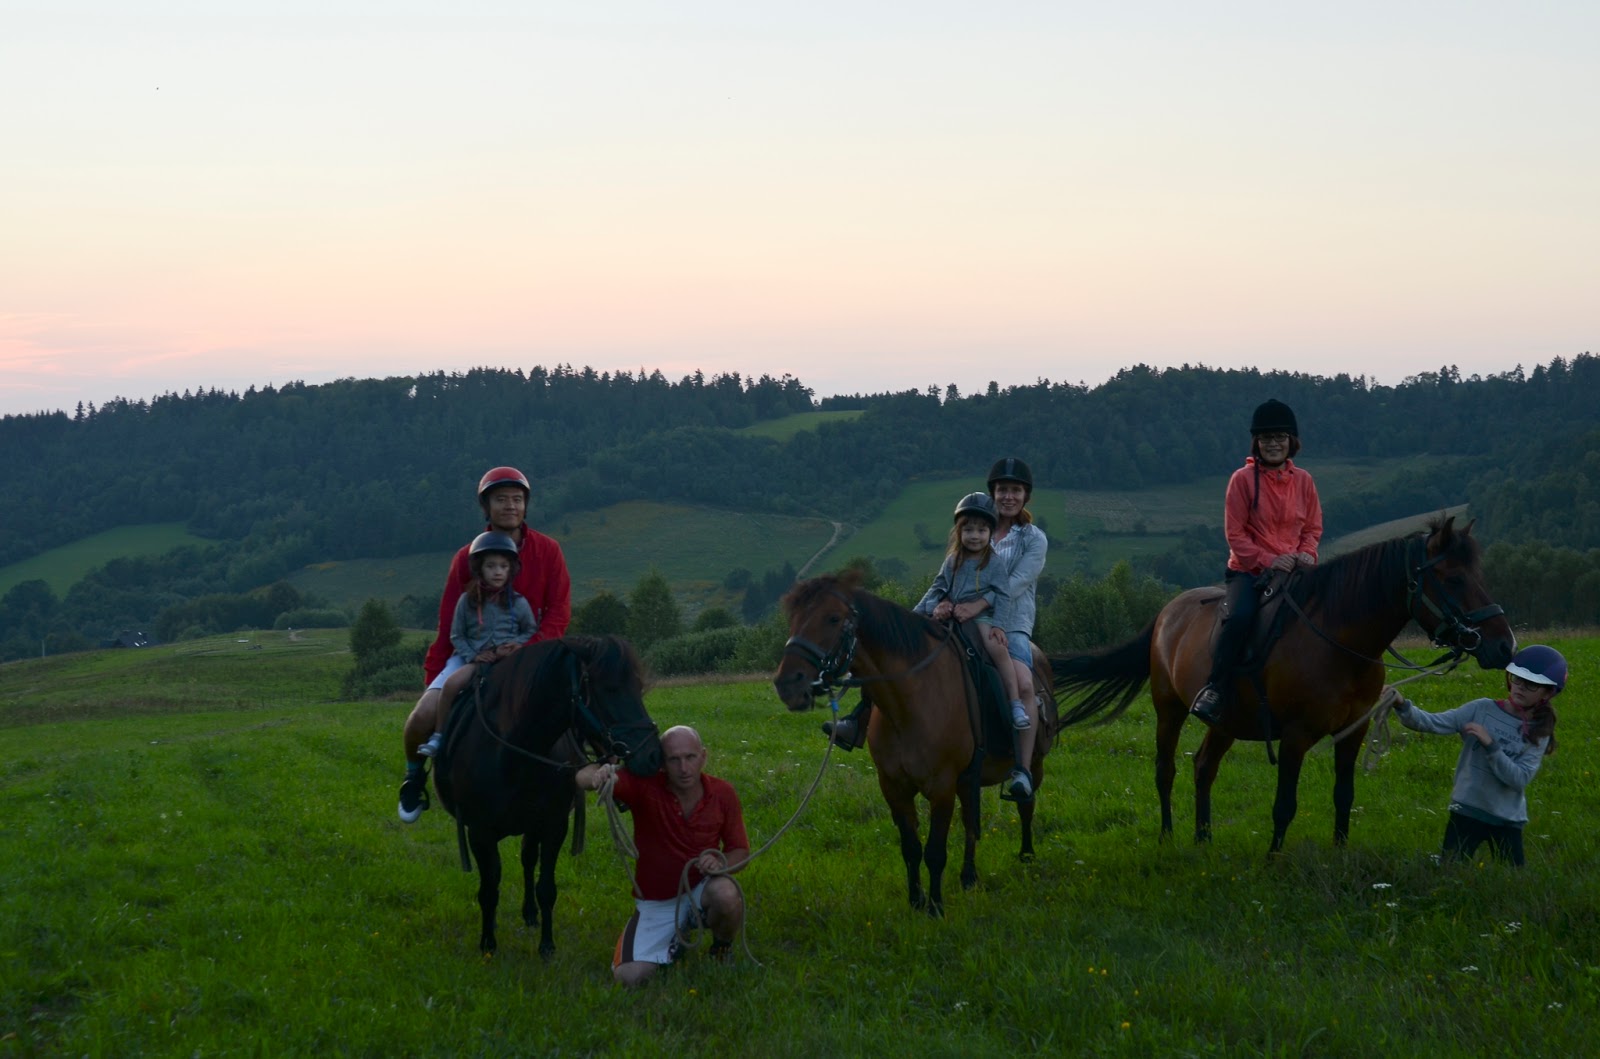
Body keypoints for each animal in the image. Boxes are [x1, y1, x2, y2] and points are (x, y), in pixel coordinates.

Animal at [431, 635, 662, 956]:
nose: (654, 756)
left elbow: (546, 887)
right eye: (610, 688)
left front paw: (547, 946)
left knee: (528, 860)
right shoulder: (479, 832)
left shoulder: (553, 826)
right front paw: (488, 944)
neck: (513, 752)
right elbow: (489, 888)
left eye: (638, 687)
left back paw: (530, 913)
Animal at [771, 572, 1061, 917]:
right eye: (793, 619)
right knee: (971, 822)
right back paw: (969, 877)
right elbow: (911, 847)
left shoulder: (942, 787)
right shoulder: (894, 787)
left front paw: (935, 906)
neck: (911, 701)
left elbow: (935, 850)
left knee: (1026, 803)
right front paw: (915, 900)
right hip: (968, 779)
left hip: (1033, 763)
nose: (788, 683)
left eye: (832, 618)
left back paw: (1026, 854)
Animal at [1048, 516, 1515, 854]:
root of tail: (1167, 613)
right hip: (1169, 710)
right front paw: (1273, 860)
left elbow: (1343, 796)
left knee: (1204, 767)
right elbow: (1284, 805)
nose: (1503, 645)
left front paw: (1339, 854)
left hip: (1225, 722)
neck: (1339, 642)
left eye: (1479, 573)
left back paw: (1204, 838)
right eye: (1454, 579)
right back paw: (1168, 838)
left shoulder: (1354, 733)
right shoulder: (1295, 735)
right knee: (1166, 771)